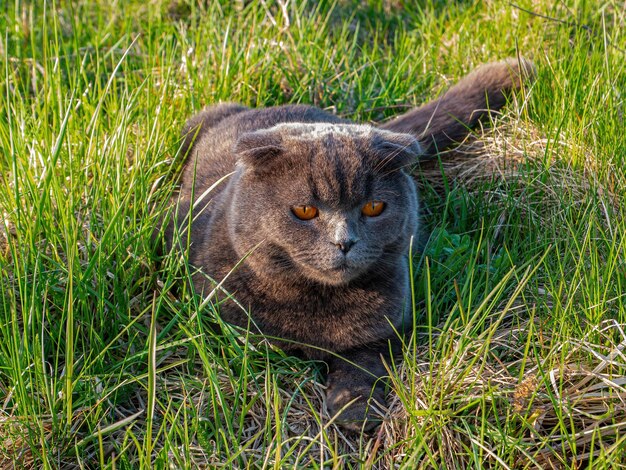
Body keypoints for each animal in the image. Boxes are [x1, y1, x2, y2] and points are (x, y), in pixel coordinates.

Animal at [165, 57, 532, 432]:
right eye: (305, 210)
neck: (315, 302)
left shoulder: (387, 323)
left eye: (373, 207)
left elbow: (362, 361)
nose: (345, 241)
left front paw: (354, 407)